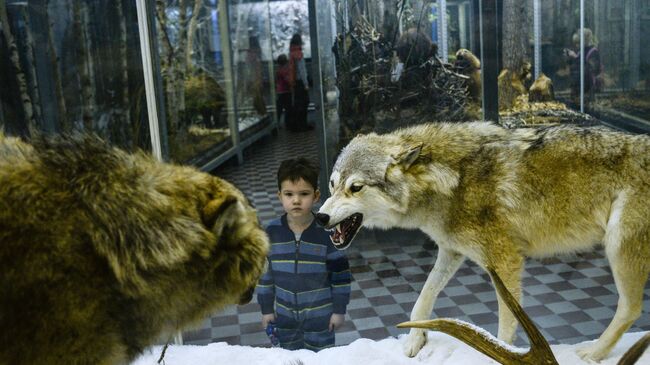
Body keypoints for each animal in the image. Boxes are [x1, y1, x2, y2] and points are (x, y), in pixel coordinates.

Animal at [316, 121, 648, 360]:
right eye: (332, 185)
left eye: (355, 187)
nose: (319, 217)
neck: (452, 180)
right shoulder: (450, 252)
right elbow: (421, 301)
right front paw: (414, 341)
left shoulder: (505, 261)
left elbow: (505, 325)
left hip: (618, 248)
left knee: (630, 308)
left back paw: (593, 353)